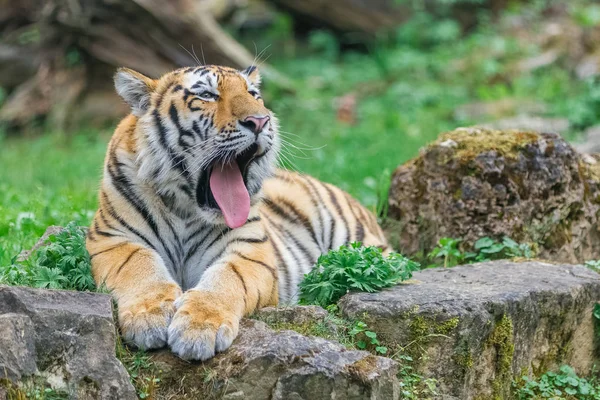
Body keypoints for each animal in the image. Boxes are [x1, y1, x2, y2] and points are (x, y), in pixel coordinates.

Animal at [85, 64, 390, 360]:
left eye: (253, 94)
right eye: (207, 95)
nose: (260, 121)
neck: (185, 208)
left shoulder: (250, 249)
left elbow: (226, 278)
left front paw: (198, 328)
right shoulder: (113, 239)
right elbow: (139, 266)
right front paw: (148, 318)